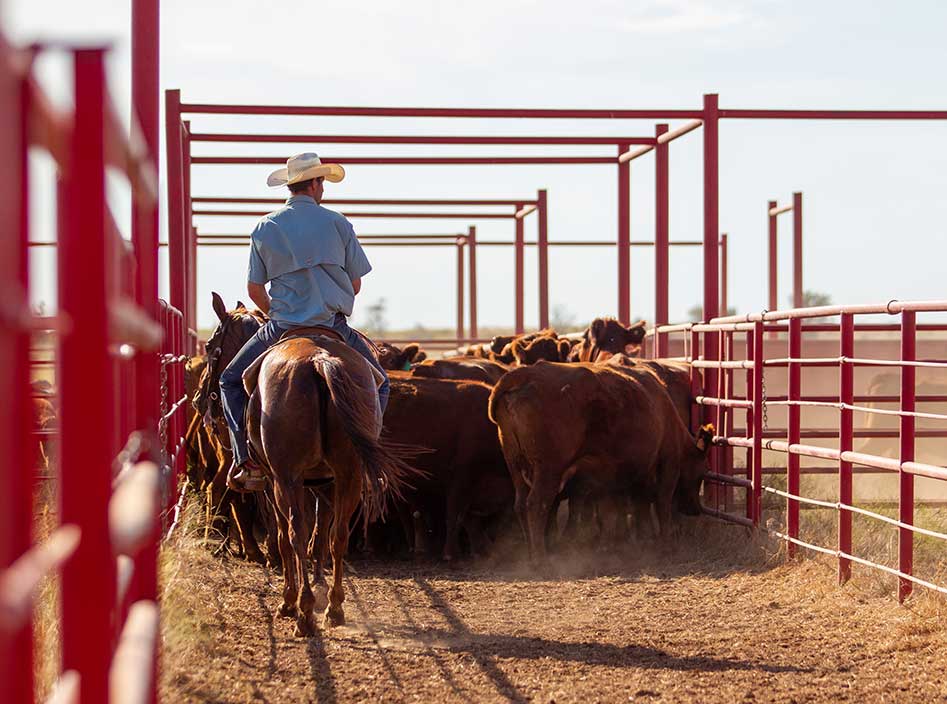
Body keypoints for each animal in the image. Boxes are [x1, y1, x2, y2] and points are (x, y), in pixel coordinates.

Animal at [488, 360, 712, 564]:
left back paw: (530, 552)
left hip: (515, 466)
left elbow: (629, 506)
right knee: (537, 504)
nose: (695, 509)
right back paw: (540, 559)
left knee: (520, 505)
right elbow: (661, 503)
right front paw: (665, 544)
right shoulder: (668, 463)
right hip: (548, 471)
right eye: (701, 474)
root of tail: (527, 373)